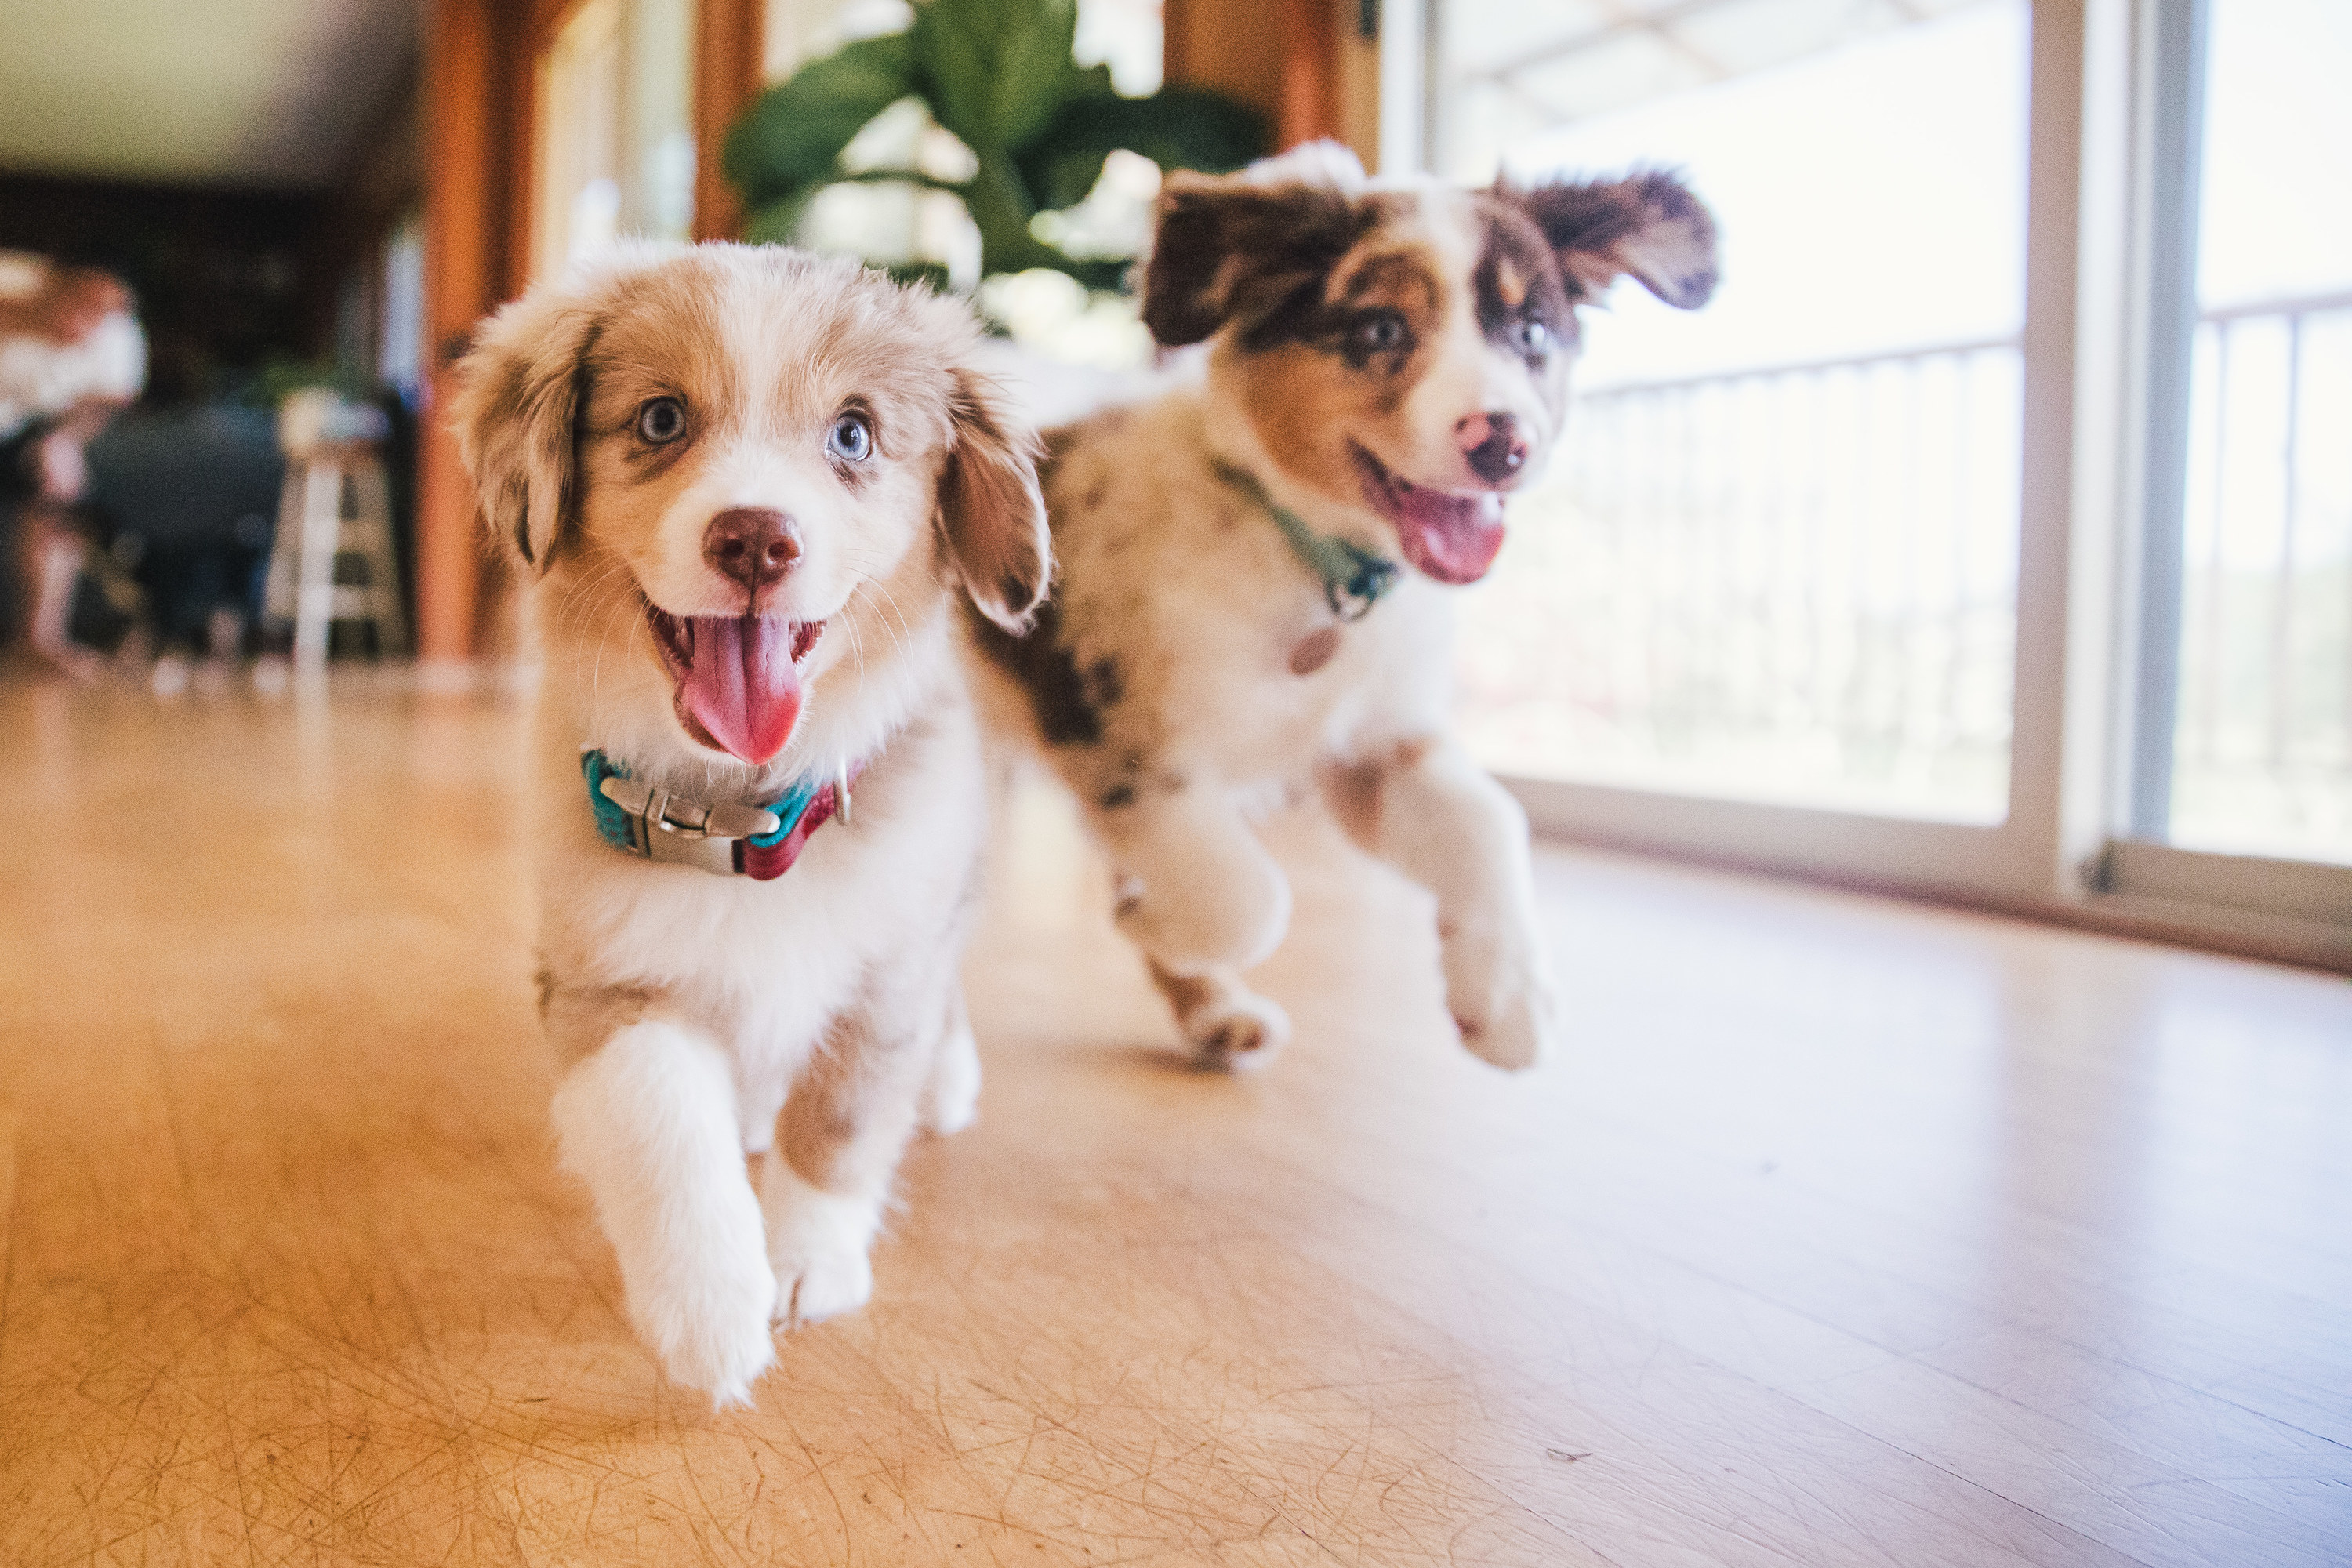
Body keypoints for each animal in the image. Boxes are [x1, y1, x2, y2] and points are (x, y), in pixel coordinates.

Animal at [454, 248, 1044, 1410]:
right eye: (661, 419)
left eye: (854, 434)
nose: (757, 538)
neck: (743, 813)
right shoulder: (602, 978)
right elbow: (665, 1124)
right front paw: (710, 1313)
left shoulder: (892, 960)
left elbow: (844, 1118)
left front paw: (807, 1261)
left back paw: (946, 1084)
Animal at [964, 147, 1722, 1072]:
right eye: (1380, 331)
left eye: (1532, 333)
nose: (1504, 444)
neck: (1311, 560)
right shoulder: (1115, 737)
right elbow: (1250, 895)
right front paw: (1153, 918)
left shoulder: (1371, 747)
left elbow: (1490, 818)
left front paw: (1506, 998)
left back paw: (1215, 1013)